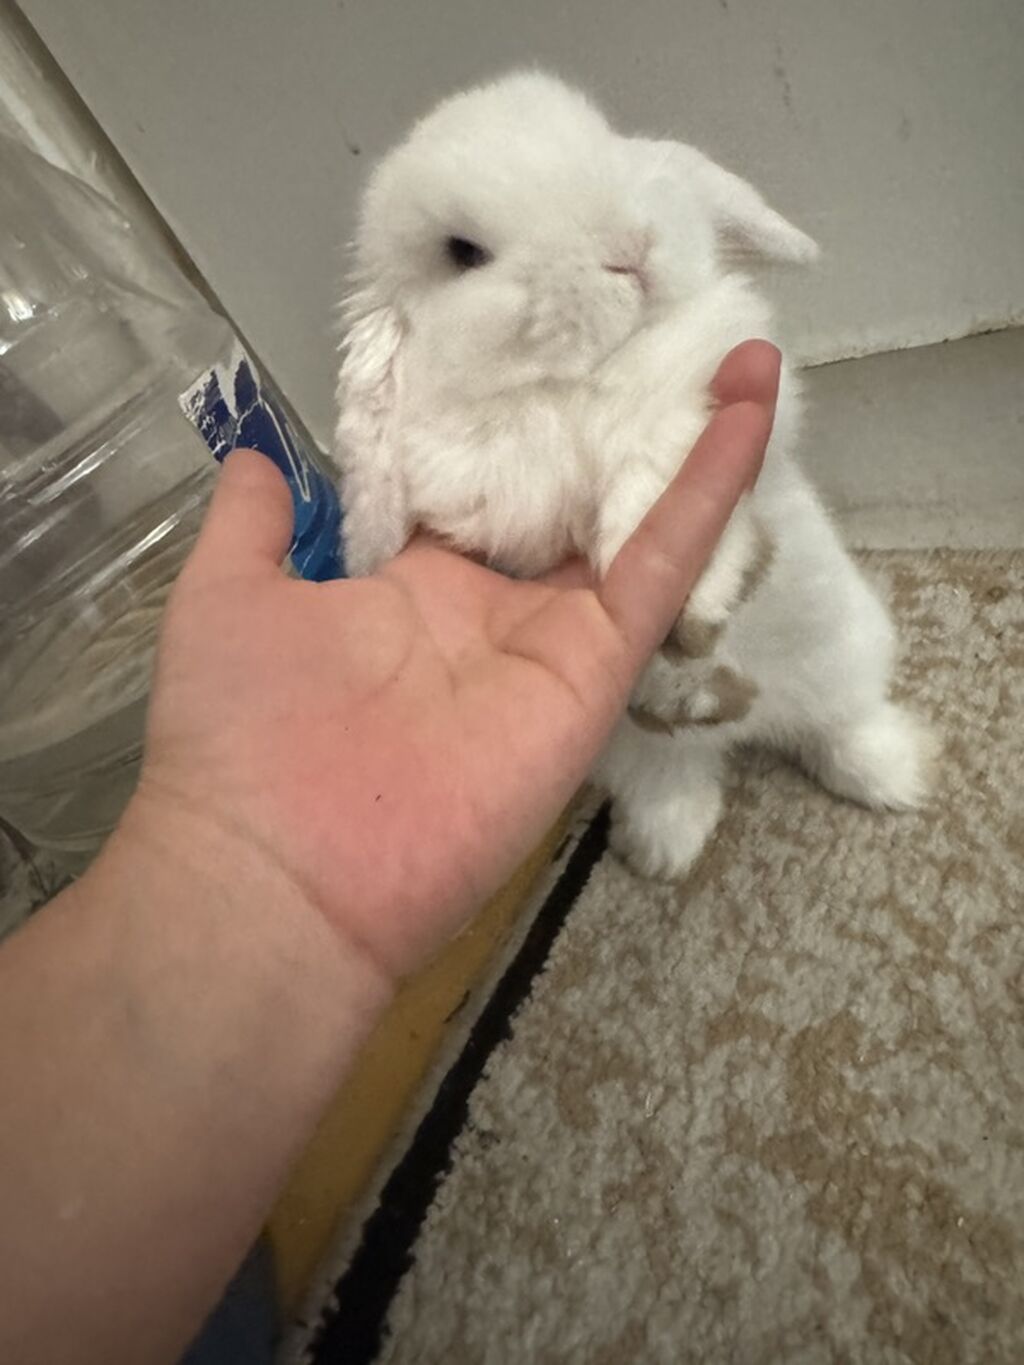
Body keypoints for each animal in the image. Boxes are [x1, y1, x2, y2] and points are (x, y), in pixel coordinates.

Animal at [334, 71, 935, 880]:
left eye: (609, 144)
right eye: (463, 251)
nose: (629, 248)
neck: (584, 380)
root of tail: (739, 728)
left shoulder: (700, 398)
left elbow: (653, 465)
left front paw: (699, 604)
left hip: (844, 647)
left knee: (842, 724)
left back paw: (899, 776)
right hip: (626, 754)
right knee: (677, 777)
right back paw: (664, 848)